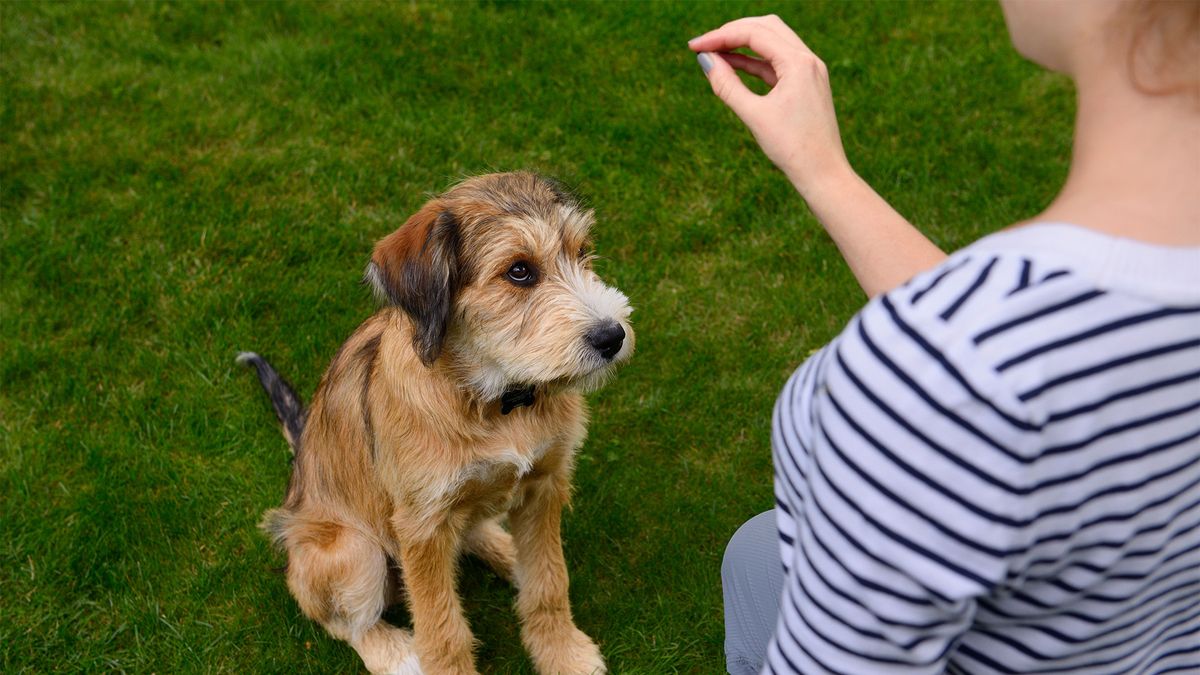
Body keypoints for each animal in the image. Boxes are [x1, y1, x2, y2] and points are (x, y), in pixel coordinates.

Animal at [238, 170, 638, 667]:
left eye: (583, 252)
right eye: (519, 271)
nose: (612, 337)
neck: (496, 400)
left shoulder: (544, 484)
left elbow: (549, 582)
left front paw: (563, 654)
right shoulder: (422, 527)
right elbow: (443, 629)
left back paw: (509, 553)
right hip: (354, 551)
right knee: (344, 621)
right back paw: (396, 655)